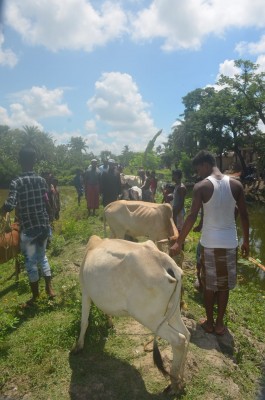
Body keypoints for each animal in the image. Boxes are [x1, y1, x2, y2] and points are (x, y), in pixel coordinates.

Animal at [73, 236, 190, 392]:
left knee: (178, 340)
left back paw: (174, 385)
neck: (93, 246)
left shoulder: (85, 291)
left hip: (149, 318)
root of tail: (168, 264)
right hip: (173, 312)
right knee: (187, 334)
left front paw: (79, 346)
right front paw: (109, 323)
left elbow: (84, 321)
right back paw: (181, 381)